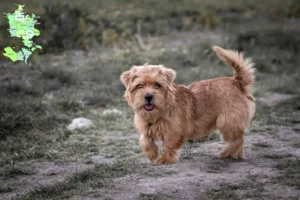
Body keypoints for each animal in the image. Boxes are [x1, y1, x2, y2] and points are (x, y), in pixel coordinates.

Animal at [119, 46, 255, 164]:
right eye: (139, 86)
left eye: (157, 85)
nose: (148, 97)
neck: (158, 113)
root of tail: (236, 82)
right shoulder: (145, 128)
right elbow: (144, 140)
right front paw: (152, 154)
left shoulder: (174, 131)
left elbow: (169, 144)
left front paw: (165, 159)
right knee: (238, 140)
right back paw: (234, 155)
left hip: (227, 121)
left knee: (237, 139)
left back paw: (226, 153)